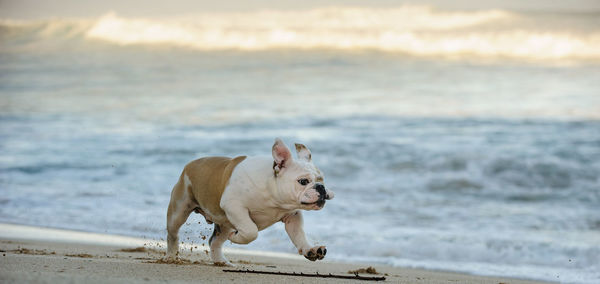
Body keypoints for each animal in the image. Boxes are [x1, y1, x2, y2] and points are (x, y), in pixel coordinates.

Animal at [165, 139, 332, 266]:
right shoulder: (234, 206)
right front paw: (235, 237)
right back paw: (171, 257)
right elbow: (252, 231)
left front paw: (310, 249)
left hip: (225, 223)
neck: (273, 195)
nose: (321, 187)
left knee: (215, 242)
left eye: (322, 179)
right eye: (303, 181)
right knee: (173, 233)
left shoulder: (293, 216)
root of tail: (191, 164)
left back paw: (221, 262)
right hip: (179, 210)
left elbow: (299, 235)